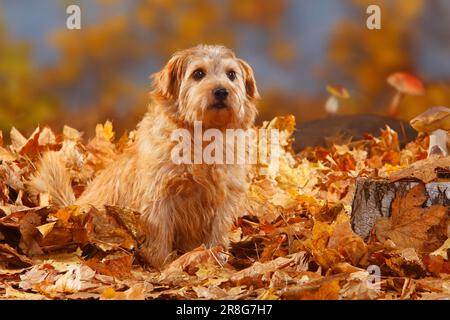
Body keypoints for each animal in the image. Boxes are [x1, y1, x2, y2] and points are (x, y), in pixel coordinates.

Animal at [28, 43, 258, 266]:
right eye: (198, 73)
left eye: (231, 74)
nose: (221, 91)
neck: (204, 137)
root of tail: (72, 207)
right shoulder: (159, 194)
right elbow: (160, 232)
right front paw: (163, 264)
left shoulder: (225, 196)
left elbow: (217, 232)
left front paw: (216, 258)